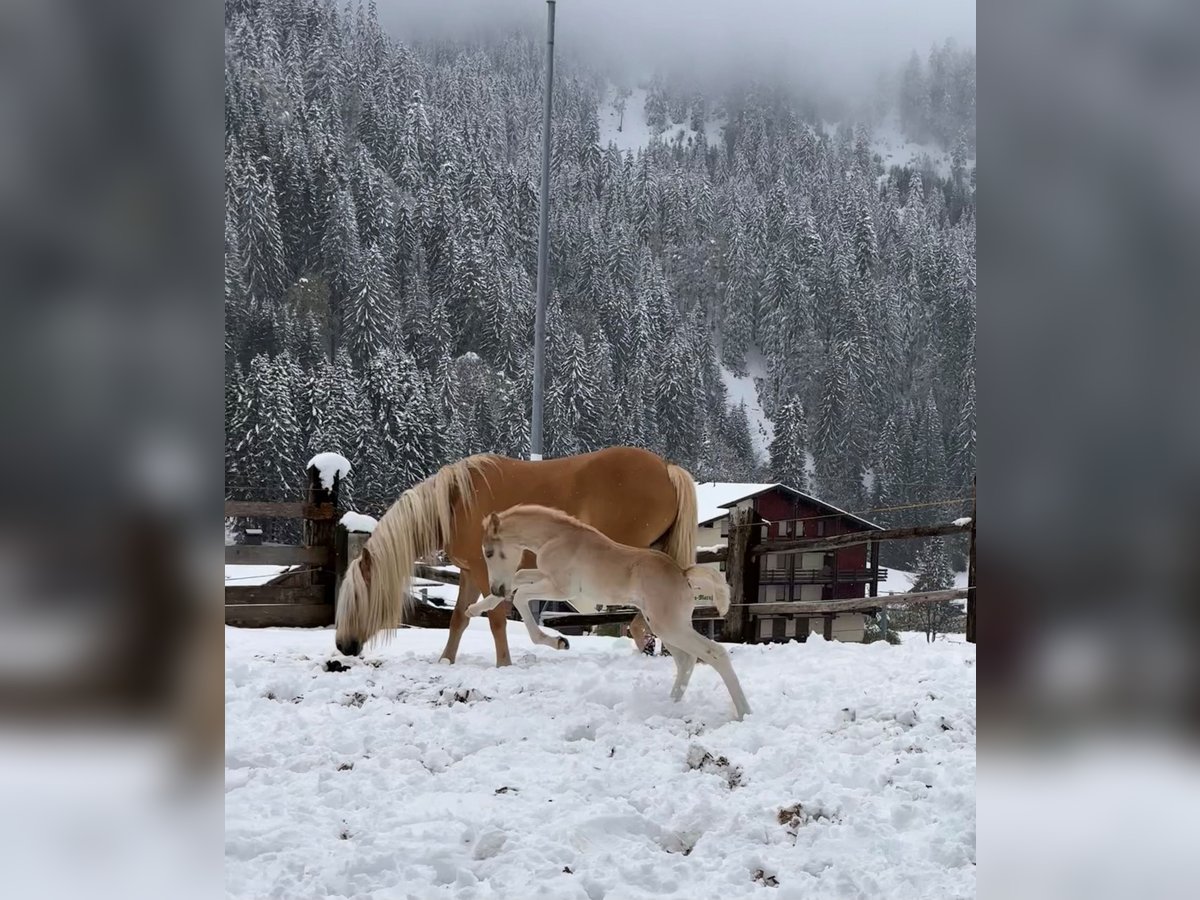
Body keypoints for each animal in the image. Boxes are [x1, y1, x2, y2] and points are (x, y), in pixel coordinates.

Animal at [333, 448, 700, 667]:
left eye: (356, 598)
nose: (343, 646)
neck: (456, 501)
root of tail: (667, 469)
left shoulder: (485, 571)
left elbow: (496, 617)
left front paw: (504, 663)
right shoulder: (469, 571)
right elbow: (459, 618)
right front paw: (446, 661)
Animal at [468, 504, 748, 724]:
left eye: (489, 552)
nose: (496, 588)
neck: (555, 538)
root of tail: (682, 574)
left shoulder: (562, 588)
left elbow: (521, 594)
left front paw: (557, 642)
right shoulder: (545, 577)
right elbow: (519, 576)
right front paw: (475, 609)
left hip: (671, 627)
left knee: (715, 653)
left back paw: (744, 712)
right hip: (667, 627)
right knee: (686, 661)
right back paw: (670, 705)